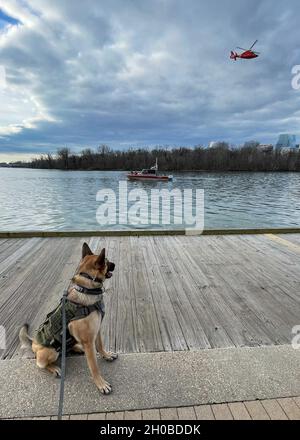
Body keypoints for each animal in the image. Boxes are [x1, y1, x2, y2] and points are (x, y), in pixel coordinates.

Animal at [19, 242, 117, 394]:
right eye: (106, 261)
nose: (114, 264)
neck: (86, 288)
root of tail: (33, 342)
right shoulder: (89, 341)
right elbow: (94, 367)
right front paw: (100, 383)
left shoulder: (97, 331)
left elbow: (100, 346)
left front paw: (106, 355)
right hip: (49, 352)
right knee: (40, 363)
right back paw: (54, 368)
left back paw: (76, 347)